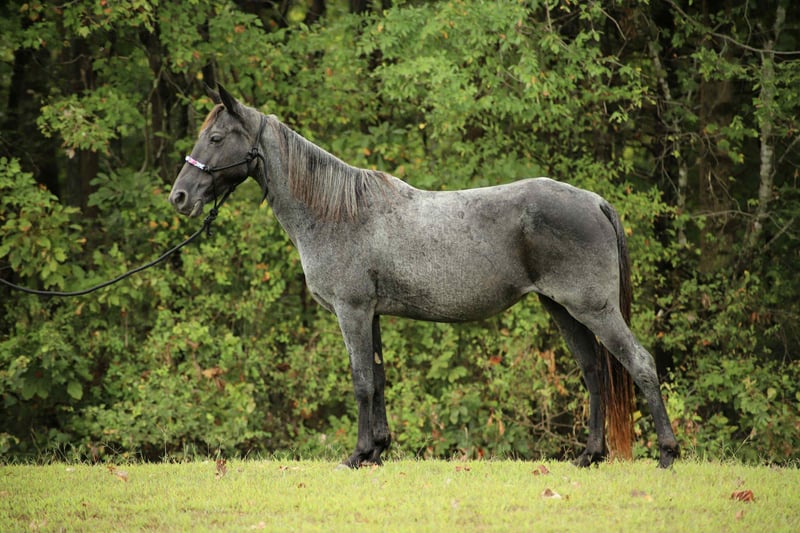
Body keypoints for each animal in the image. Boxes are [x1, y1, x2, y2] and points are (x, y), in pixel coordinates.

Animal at [169, 85, 680, 469]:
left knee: (639, 364)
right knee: (594, 373)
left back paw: (667, 454)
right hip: (562, 308)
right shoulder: (371, 314)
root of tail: (594, 200)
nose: (179, 197)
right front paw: (377, 451)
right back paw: (589, 456)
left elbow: (361, 380)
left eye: (216, 138)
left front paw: (357, 455)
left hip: (592, 308)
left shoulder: (352, 311)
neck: (337, 211)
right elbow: (378, 378)